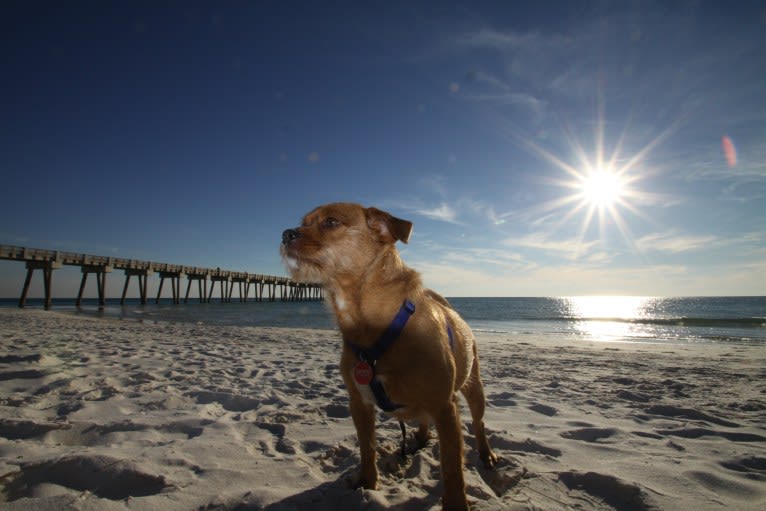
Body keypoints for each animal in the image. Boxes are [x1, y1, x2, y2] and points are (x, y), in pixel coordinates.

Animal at [282, 202, 498, 510]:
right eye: (302, 222)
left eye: (331, 222)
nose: (286, 234)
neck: (371, 326)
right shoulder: (359, 404)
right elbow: (367, 447)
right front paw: (367, 483)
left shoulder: (445, 407)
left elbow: (452, 466)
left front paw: (456, 503)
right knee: (424, 419)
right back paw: (420, 438)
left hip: (474, 387)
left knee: (478, 423)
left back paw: (486, 453)